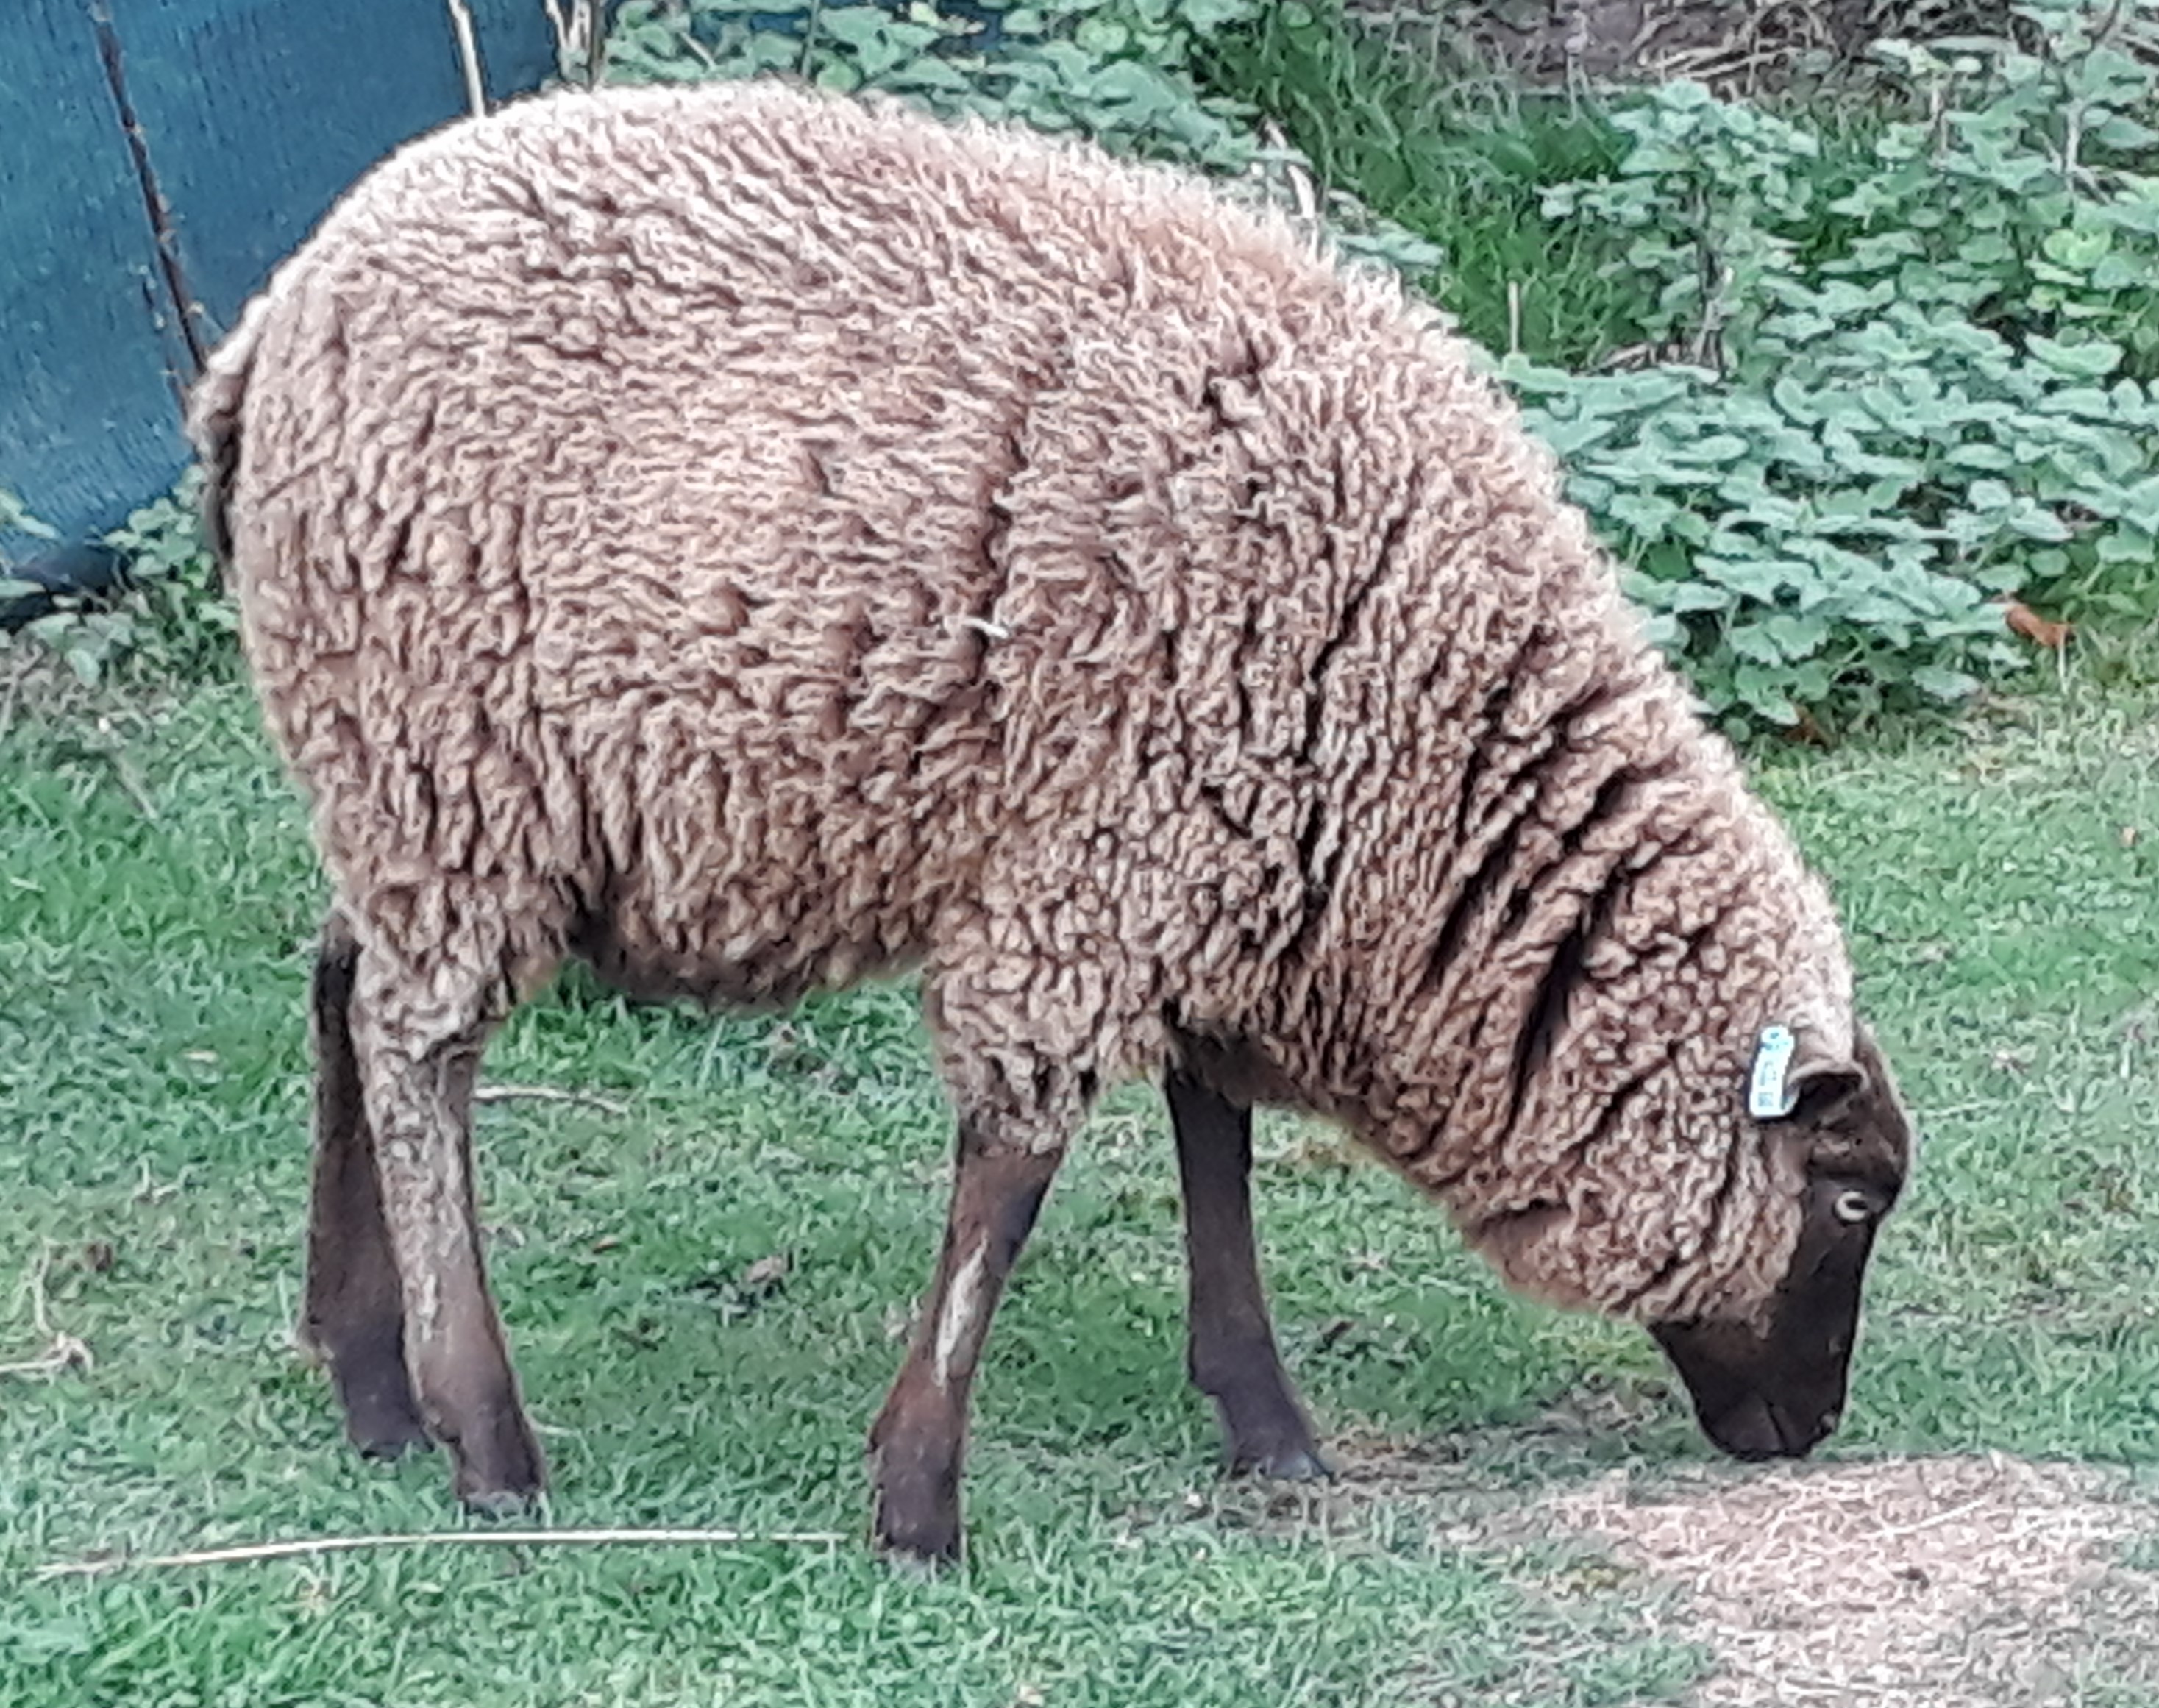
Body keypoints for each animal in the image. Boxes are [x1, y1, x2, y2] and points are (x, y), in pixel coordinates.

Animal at [185, 73, 1908, 1563]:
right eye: (1849, 1195)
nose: (1812, 1430)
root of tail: (278, 315)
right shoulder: (1095, 873)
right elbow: (1009, 1186)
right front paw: (919, 1506)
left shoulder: (1213, 860)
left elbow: (1210, 1134)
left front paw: (1266, 1423)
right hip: (448, 748)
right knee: (418, 1049)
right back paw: (485, 1440)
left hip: (400, 774)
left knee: (343, 982)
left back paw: (370, 1385)